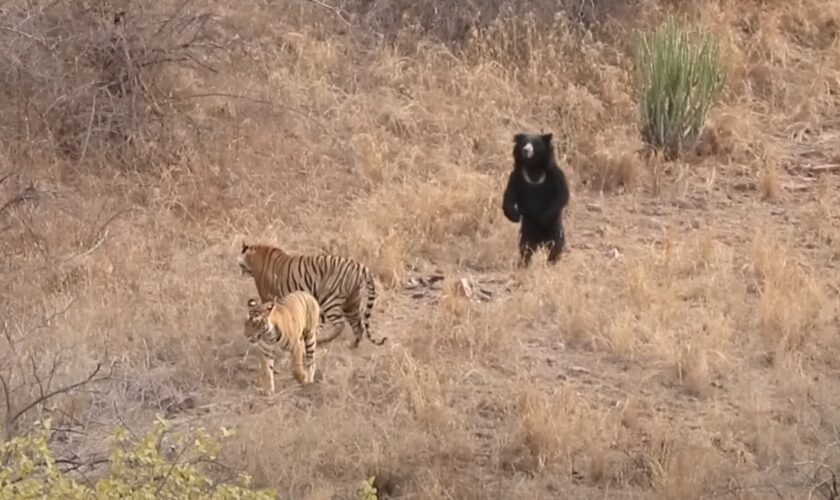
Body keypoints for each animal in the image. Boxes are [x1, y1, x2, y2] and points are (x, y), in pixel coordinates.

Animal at [236, 242, 388, 348]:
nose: (241, 272)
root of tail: (360, 267)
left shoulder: (267, 295)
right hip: (351, 302)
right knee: (358, 325)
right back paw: (353, 346)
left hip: (330, 299)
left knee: (340, 324)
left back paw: (321, 341)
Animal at [498, 131, 572, 268]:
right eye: (524, 143)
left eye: (535, 144)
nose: (526, 150)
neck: (533, 167)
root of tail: (541, 241)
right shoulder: (517, 176)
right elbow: (509, 195)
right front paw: (515, 216)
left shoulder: (555, 175)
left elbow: (562, 196)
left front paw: (543, 218)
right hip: (527, 231)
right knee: (526, 247)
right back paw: (524, 264)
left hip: (555, 228)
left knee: (556, 245)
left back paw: (551, 263)